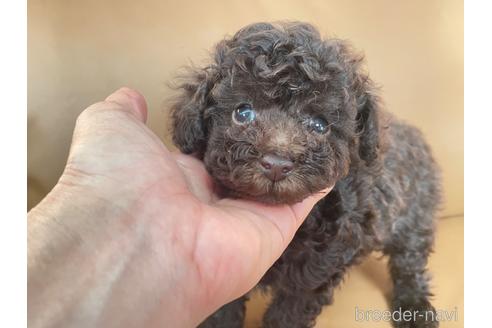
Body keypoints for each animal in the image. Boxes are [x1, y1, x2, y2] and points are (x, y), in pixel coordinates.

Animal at [170, 21, 442, 328]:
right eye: (242, 113)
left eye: (319, 125)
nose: (277, 163)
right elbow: (222, 310)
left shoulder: (316, 274)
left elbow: (289, 314)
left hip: (414, 217)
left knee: (409, 264)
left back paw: (416, 310)